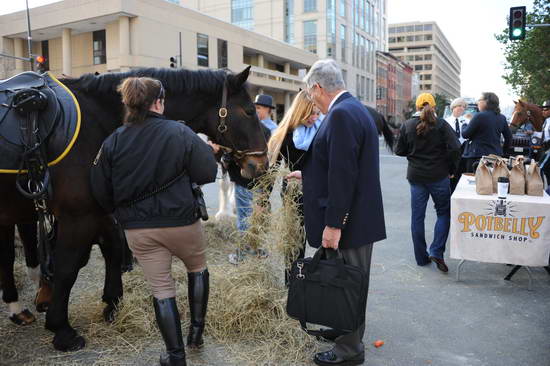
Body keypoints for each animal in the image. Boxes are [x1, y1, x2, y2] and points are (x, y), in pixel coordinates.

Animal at [0, 66, 268, 352]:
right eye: (249, 111)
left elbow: (111, 248)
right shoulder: (79, 216)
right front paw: (61, 329)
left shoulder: (98, 210)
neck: (96, 117)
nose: (262, 163)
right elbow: (68, 266)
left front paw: (111, 301)